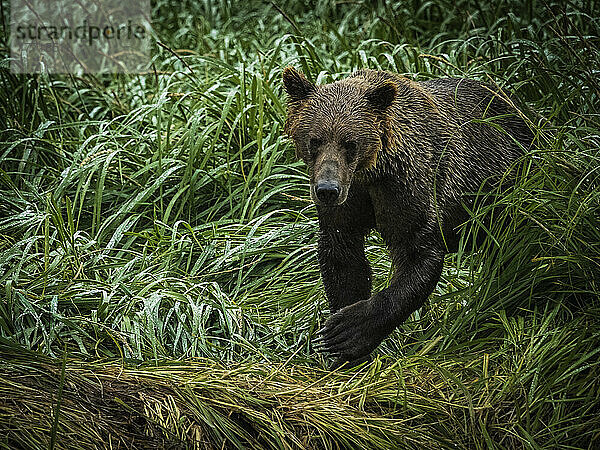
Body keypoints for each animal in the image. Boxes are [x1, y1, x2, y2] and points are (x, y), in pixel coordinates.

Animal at [280, 67, 528, 370]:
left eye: (350, 143)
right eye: (315, 140)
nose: (328, 189)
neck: (371, 172)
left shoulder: (408, 186)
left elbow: (416, 252)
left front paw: (348, 331)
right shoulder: (350, 202)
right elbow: (343, 258)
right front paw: (344, 349)